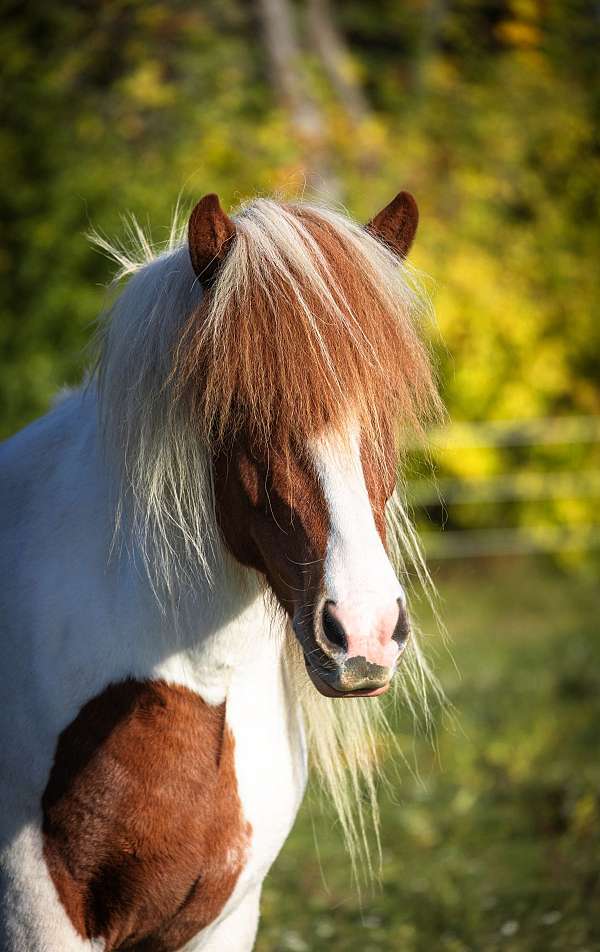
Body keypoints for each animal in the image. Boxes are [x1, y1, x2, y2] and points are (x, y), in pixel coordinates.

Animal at [0, 189, 441, 951]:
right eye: (241, 409)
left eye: (386, 408)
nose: (364, 634)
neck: (191, 688)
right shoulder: (38, 917)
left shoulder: (226, 921)